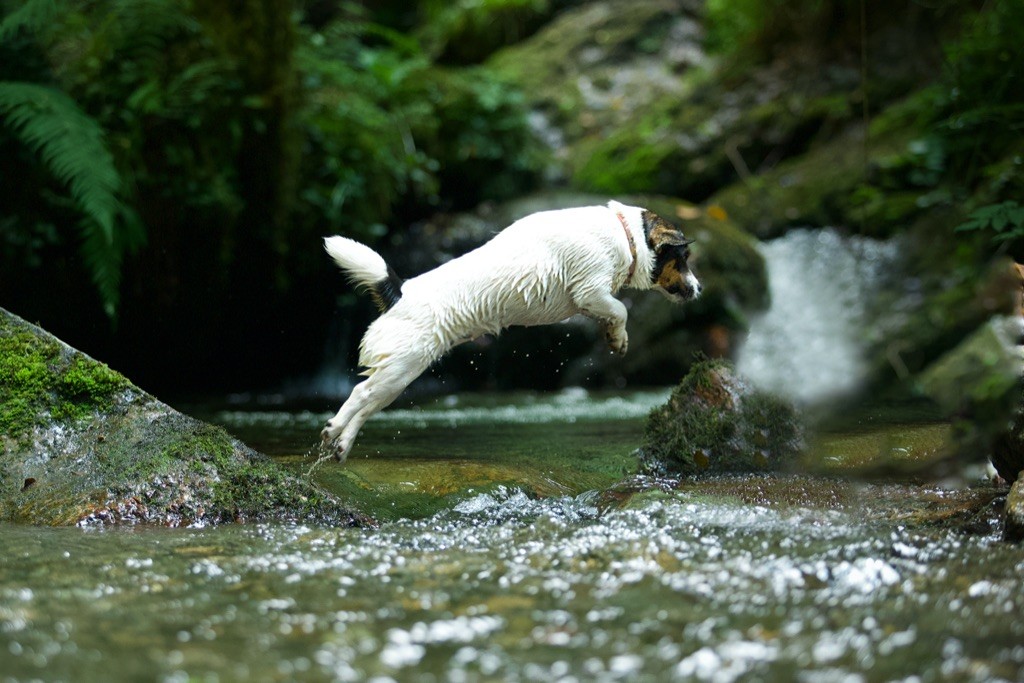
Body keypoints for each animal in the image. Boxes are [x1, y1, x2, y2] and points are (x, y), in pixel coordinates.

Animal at [323, 200, 700, 462]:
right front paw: (618, 338)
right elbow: (620, 309)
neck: (626, 234)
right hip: (400, 367)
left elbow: (612, 312)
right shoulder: (589, 290)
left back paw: (342, 444)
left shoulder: (592, 300)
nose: (699, 289)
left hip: (397, 378)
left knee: (367, 406)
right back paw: (333, 429)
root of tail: (400, 292)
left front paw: (613, 334)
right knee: (359, 394)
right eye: (683, 259)